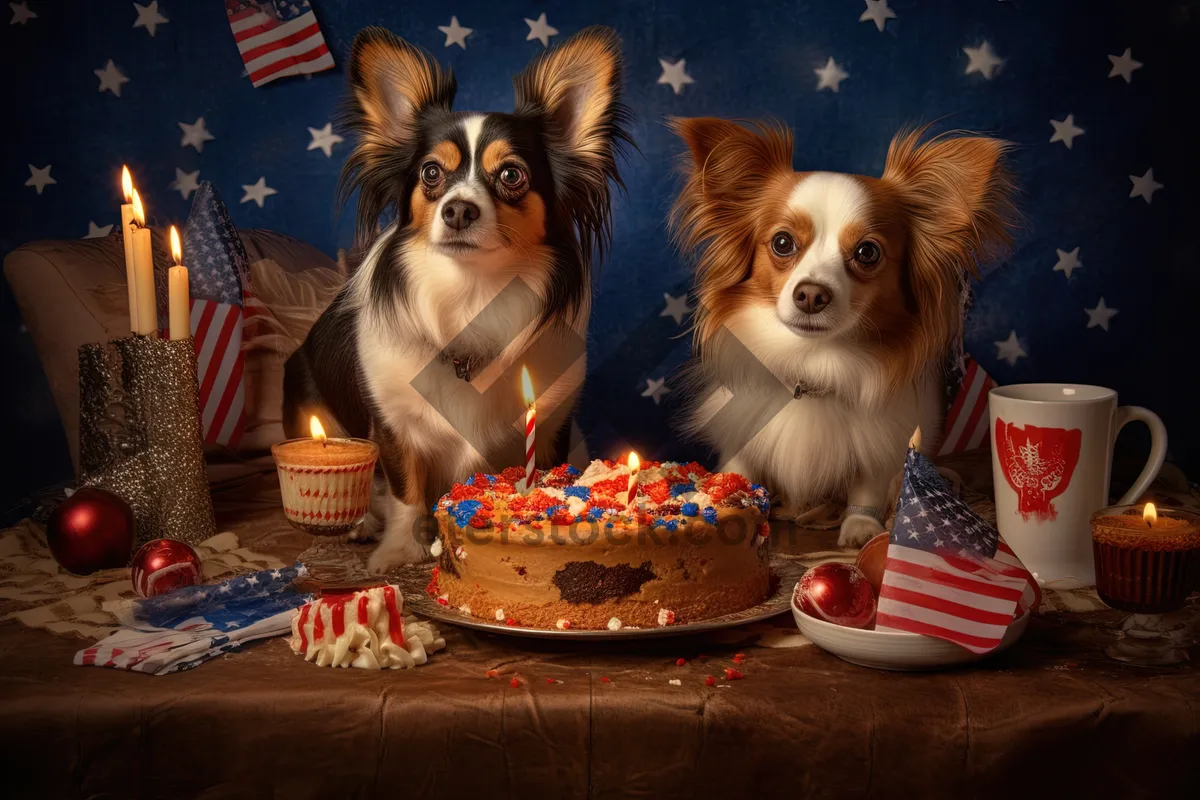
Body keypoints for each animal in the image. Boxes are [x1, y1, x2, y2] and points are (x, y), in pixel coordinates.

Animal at [285, 26, 633, 568]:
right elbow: (405, 488)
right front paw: (398, 552)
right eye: (431, 173)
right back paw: (362, 523)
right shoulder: (393, 423)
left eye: (511, 175)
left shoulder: (551, 422)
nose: (458, 210)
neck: (472, 295)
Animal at [672, 118, 1017, 546]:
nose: (811, 294)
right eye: (782, 243)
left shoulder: (880, 446)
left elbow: (867, 485)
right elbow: (740, 473)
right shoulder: (742, 439)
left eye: (867, 252)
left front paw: (860, 528)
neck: (812, 365)